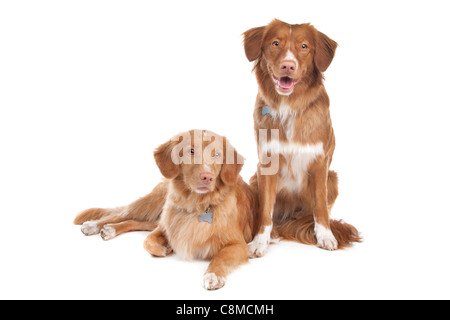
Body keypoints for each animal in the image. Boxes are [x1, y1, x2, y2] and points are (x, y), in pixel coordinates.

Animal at [73, 130, 256, 290]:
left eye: (217, 155)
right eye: (191, 151)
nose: (207, 177)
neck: (197, 204)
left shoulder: (238, 244)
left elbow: (220, 257)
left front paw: (212, 275)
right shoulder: (167, 227)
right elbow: (146, 241)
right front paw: (164, 249)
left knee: (135, 221)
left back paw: (109, 229)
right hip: (153, 203)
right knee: (122, 212)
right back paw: (94, 226)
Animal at [243, 18, 362, 256]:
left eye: (304, 46)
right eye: (275, 43)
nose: (288, 65)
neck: (290, 106)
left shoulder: (320, 164)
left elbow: (320, 208)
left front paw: (325, 236)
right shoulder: (266, 165)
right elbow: (265, 210)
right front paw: (260, 241)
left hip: (332, 178)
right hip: (254, 179)